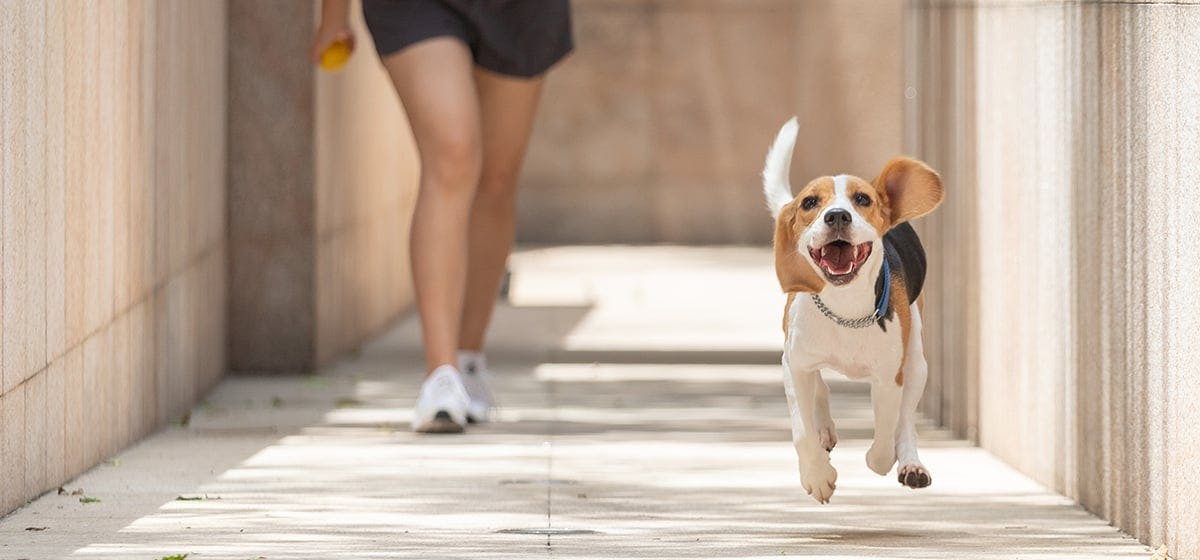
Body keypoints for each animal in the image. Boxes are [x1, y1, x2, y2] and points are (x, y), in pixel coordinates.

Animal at [763, 118, 940, 503]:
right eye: (809, 202)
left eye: (863, 199)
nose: (837, 216)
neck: (844, 310)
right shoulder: (794, 364)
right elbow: (802, 430)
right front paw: (817, 475)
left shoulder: (890, 376)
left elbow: (887, 427)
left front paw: (880, 460)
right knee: (820, 391)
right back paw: (825, 431)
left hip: (917, 361)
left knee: (905, 421)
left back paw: (910, 464)